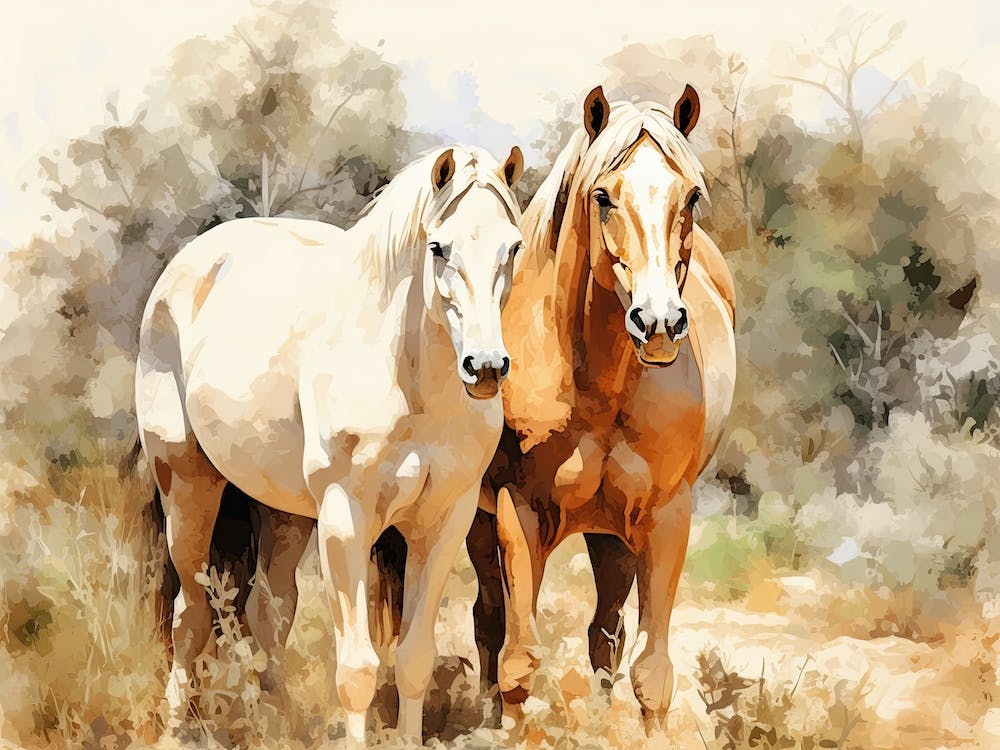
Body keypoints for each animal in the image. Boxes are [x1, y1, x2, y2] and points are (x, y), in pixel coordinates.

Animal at [134, 143, 525, 746]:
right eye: (438, 246)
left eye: (514, 246)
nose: (484, 368)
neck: (407, 375)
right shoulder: (346, 519)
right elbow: (357, 670)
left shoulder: (444, 521)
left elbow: (413, 658)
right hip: (187, 484)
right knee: (189, 613)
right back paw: (176, 727)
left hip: (284, 513)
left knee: (267, 613)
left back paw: (278, 721)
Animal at [465, 86, 737, 732]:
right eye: (603, 195)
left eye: (692, 195)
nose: (659, 323)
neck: (598, 382)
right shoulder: (518, 510)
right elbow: (518, 659)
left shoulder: (666, 517)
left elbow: (651, 672)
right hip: (479, 520)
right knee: (489, 622)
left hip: (612, 535)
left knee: (604, 634)